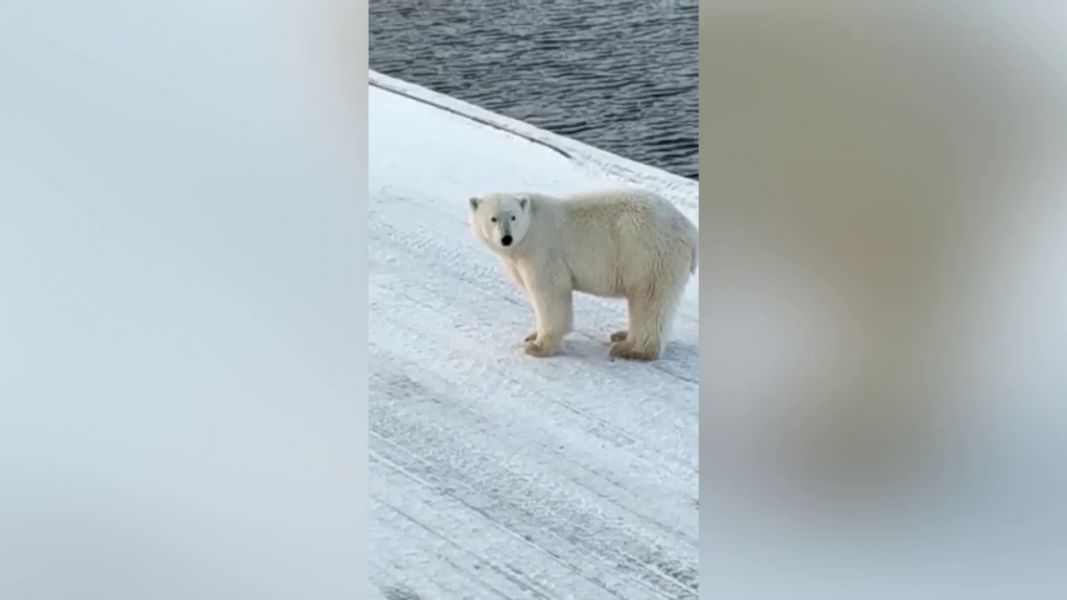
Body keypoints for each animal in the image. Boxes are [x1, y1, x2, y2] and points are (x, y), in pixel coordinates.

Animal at [468, 187, 698, 361]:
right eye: (493, 219)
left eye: (513, 217)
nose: (506, 238)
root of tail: (690, 230)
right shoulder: (518, 260)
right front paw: (533, 335)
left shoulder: (543, 252)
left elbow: (550, 294)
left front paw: (539, 346)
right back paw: (622, 335)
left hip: (650, 255)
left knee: (649, 301)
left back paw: (632, 350)